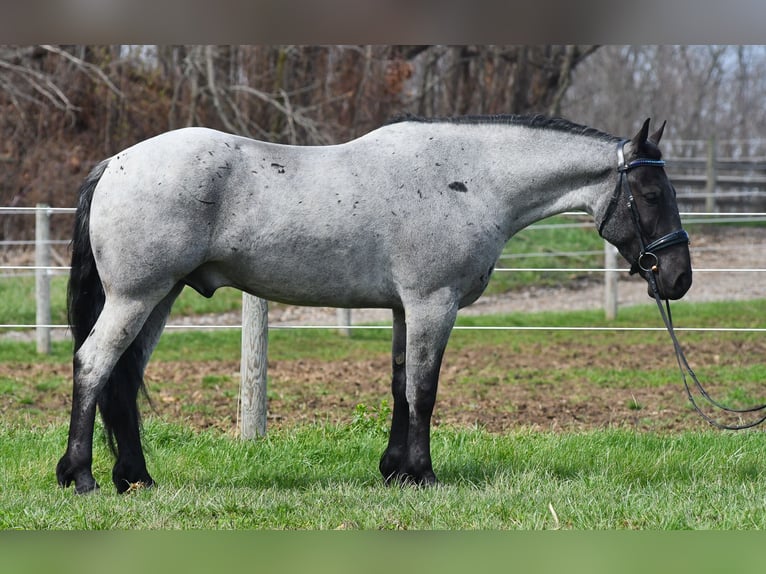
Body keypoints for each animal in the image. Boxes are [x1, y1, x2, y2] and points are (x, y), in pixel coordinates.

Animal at [56, 114, 692, 494]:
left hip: (159, 298)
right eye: (650, 193)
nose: (678, 277)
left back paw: (135, 478)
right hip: (136, 297)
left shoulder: (405, 309)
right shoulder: (434, 304)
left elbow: (398, 384)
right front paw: (423, 474)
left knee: (122, 378)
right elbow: (424, 390)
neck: (468, 179)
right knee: (93, 365)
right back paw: (80, 476)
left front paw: (393, 471)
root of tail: (114, 164)